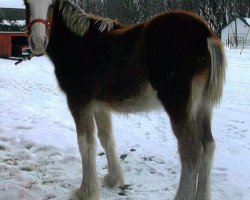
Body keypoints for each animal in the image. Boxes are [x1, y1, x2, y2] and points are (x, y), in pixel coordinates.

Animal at [23, 0, 227, 199]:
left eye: (51, 5)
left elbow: (85, 143)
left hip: (179, 107)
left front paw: (85, 191)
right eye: (26, 4)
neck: (78, 42)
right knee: (208, 146)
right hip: (202, 106)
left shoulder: (78, 102)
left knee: (192, 151)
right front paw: (113, 179)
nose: (38, 42)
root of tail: (205, 33)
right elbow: (106, 137)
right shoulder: (99, 105)